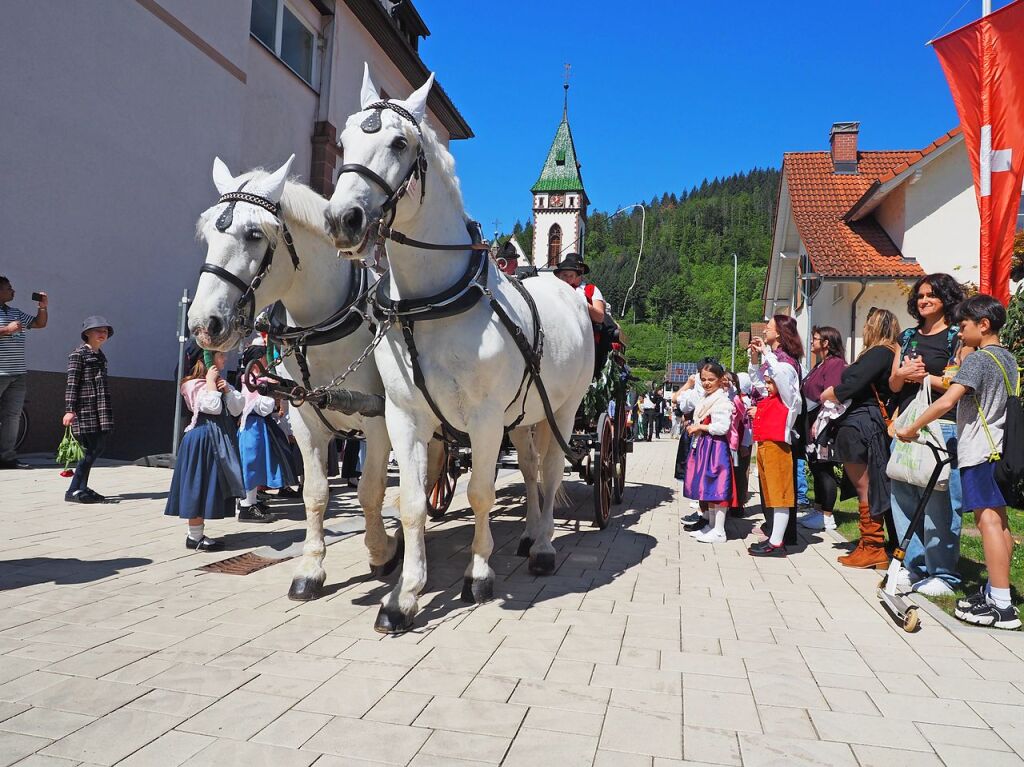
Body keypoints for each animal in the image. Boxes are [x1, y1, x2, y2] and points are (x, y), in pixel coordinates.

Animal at [188, 155, 403, 598]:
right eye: (207, 233)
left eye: (254, 234)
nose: (203, 324)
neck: (327, 325)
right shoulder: (305, 422)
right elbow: (316, 494)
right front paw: (310, 568)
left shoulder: (379, 421)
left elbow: (370, 490)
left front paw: (382, 551)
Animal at [319, 66, 593, 630]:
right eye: (346, 139)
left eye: (400, 143)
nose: (342, 220)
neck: (431, 305)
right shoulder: (404, 417)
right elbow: (411, 503)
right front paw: (403, 595)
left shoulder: (485, 418)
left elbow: (482, 492)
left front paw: (478, 574)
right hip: (526, 416)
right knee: (531, 472)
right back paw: (530, 533)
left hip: (564, 409)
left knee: (553, 470)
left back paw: (544, 547)